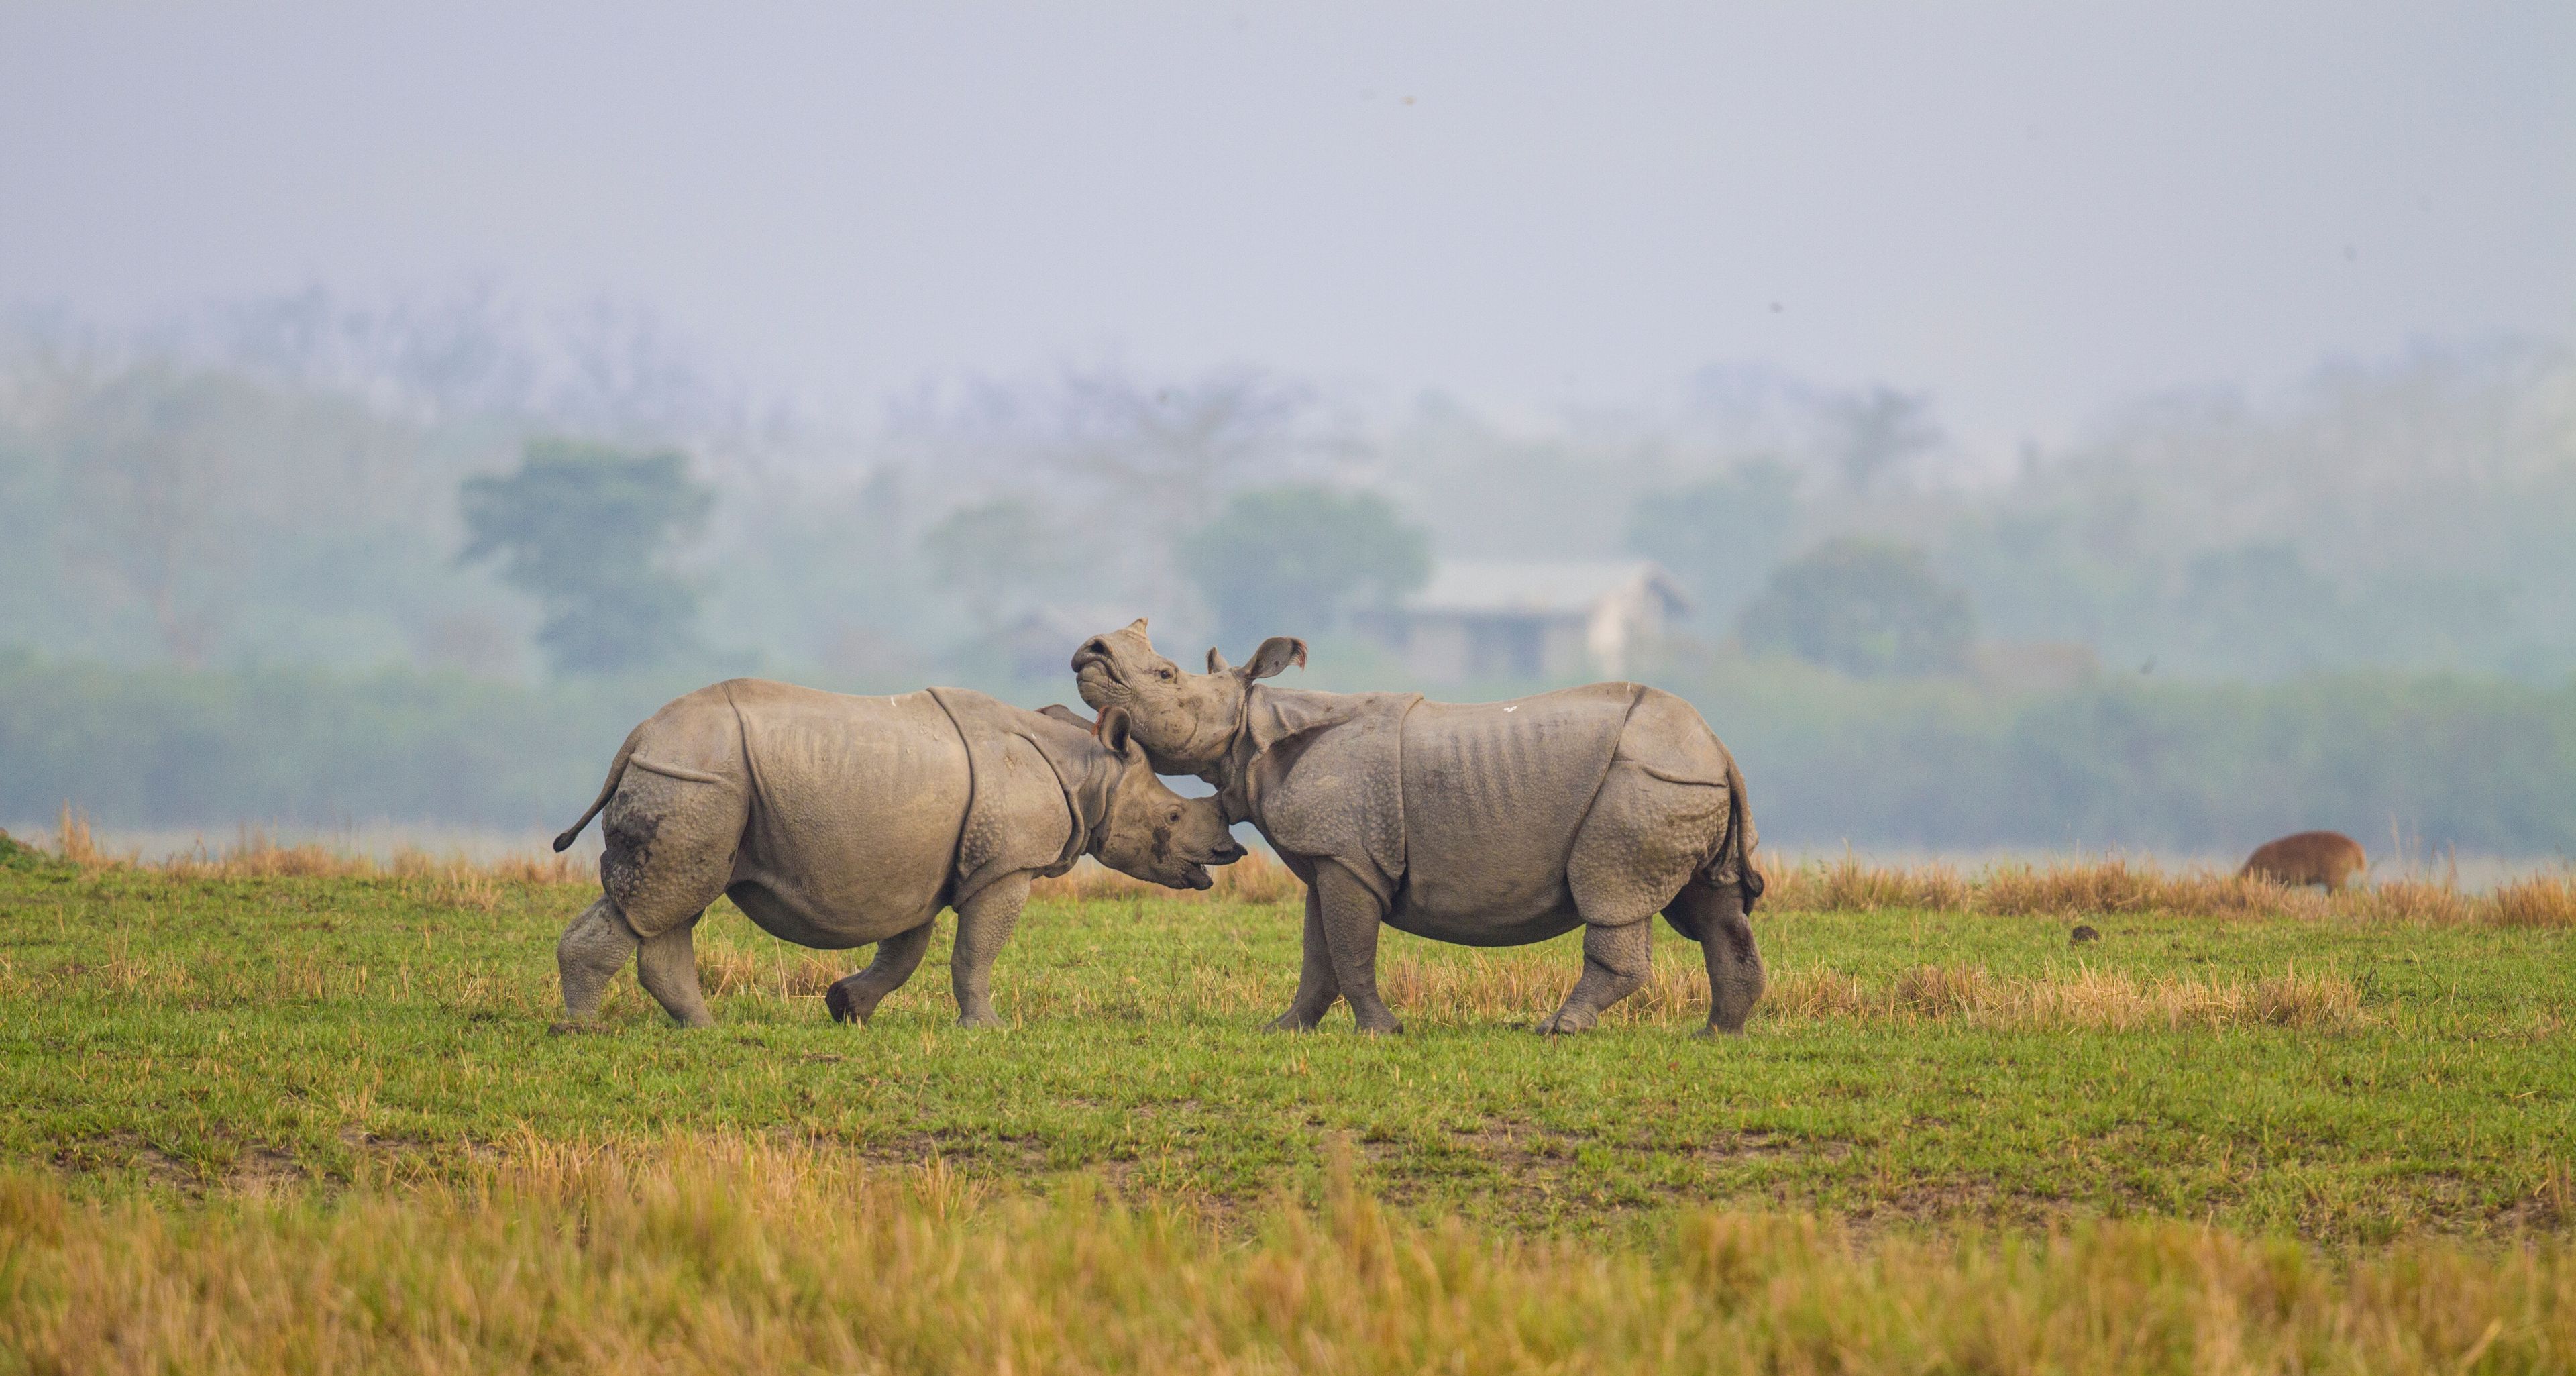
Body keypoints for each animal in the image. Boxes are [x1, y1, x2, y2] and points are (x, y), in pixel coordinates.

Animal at [548, 678, 1244, 1030]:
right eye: (1172, 817)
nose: (1227, 851)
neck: (1090, 770)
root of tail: (638, 736)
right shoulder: (1005, 865)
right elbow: (975, 951)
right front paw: (987, 1029)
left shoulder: (919, 868)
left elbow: (906, 951)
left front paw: (846, 1008)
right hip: (697, 778)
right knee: (665, 900)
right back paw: (584, 1030)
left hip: (698, 782)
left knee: (671, 904)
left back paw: (701, 1029)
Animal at [1071, 621, 1765, 1036]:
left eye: (1165, 676)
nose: (1091, 652)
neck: (1253, 725)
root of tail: (1718, 746)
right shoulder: (1330, 856)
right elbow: (1318, 954)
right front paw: (1284, 1029)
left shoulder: (1348, 853)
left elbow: (1350, 947)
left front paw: (1381, 1032)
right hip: (1679, 780)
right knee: (1713, 909)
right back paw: (1716, 1035)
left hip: (1646, 781)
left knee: (1613, 893)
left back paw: (1558, 1029)